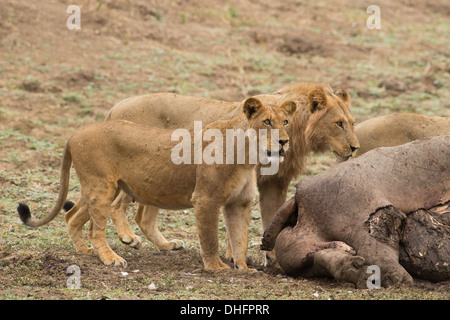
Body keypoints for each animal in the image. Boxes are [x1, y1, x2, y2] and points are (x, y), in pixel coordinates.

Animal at [17, 97, 298, 270]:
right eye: (266, 122)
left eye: (285, 122)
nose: (284, 141)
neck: (247, 154)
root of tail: (75, 134)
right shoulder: (205, 199)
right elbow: (210, 238)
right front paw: (216, 267)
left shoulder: (239, 203)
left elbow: (239, 238)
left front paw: (244, 269)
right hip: (102, 187)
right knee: (95, 229)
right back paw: (110, 258)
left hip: (101, 188)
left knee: (72, 216)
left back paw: (85, 251)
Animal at [104, 82, 358, 262]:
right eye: (338, 123)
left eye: (352, 123)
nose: (355, 147)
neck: (297, 131)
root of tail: (115, 106)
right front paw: (233, 255)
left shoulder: (274, 182)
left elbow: (271, 217)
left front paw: (272, 258)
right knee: (117, 205)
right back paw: (128, 237)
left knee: (144, 217)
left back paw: (166, 245)